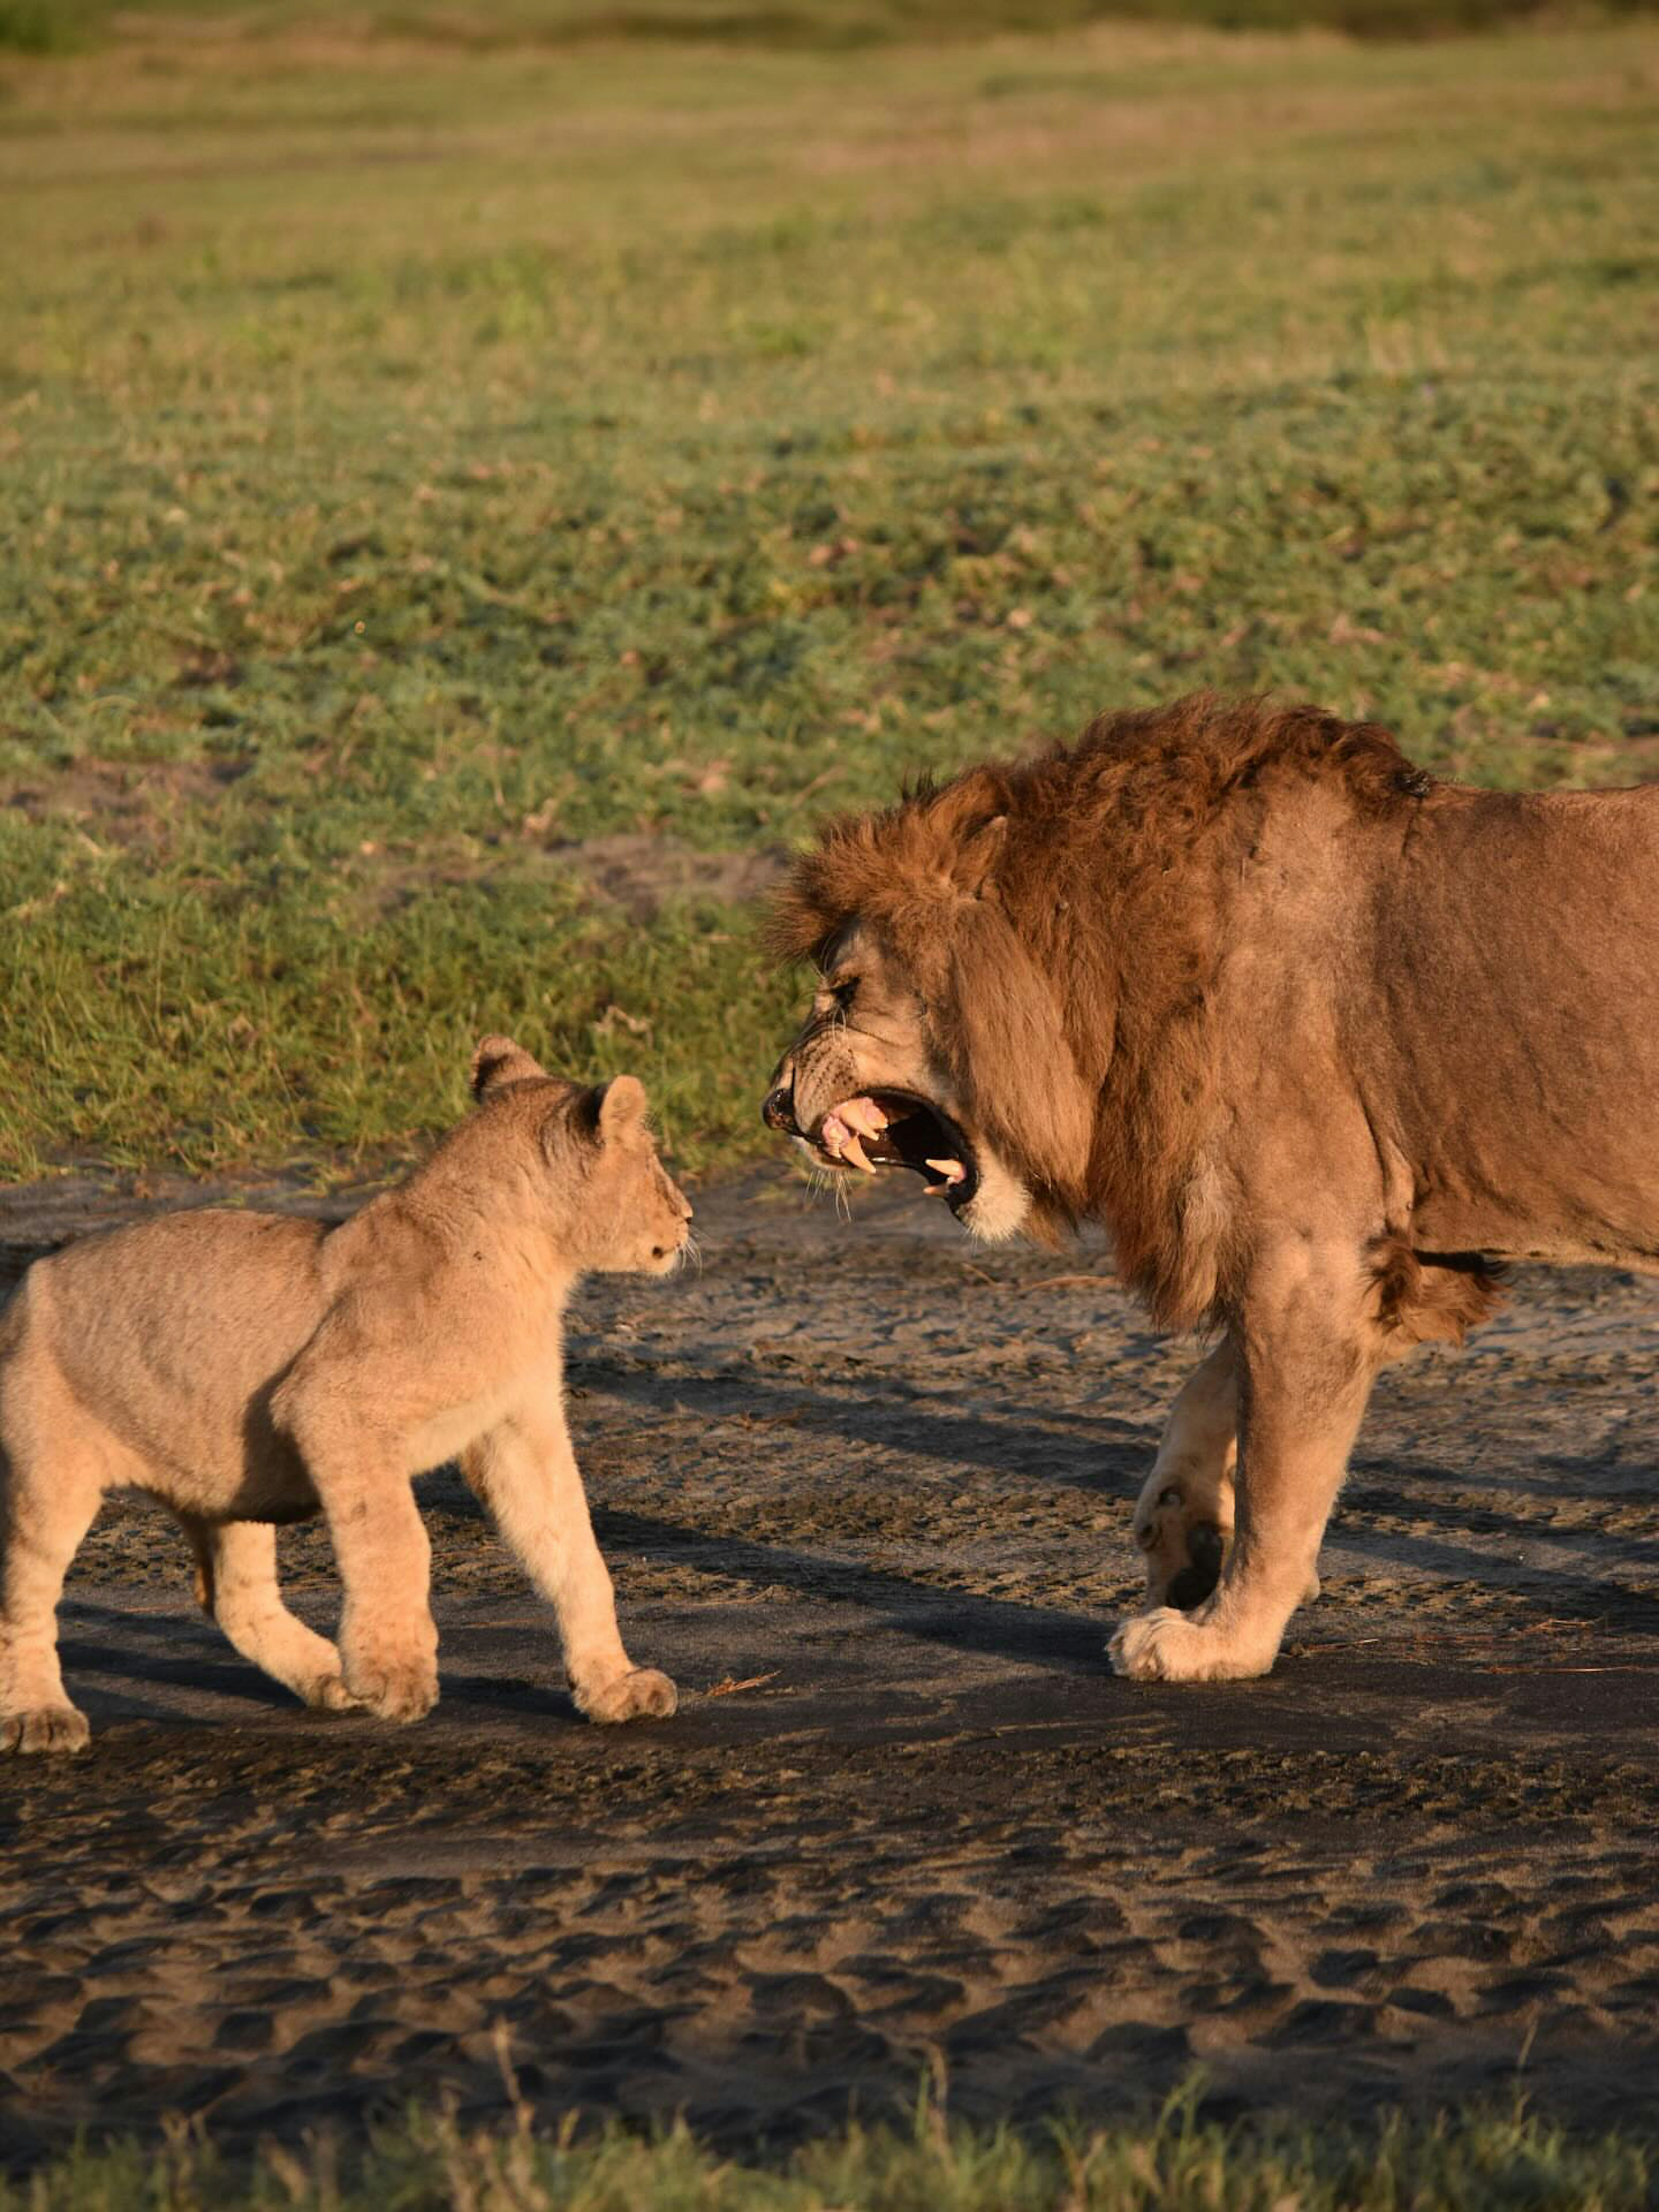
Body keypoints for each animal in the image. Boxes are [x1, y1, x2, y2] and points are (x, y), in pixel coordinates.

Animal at [0, 1038, 691, 1752]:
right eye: (652, 1161)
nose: (689, 1215)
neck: (533, 1267)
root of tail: (29, 1280)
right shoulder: (333, 1405)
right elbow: (398, 1539)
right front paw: (394, 1676)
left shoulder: (518, 1425)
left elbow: (576, 1553)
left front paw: (616, 1686)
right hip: (52, 1471)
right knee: (23, 1597)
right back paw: (38, 1716)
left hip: (227, 1478)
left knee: (233, 1596)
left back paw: (329, 1677)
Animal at [762, 692, 1659, 1682]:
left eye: (846, 992)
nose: (773, 1105)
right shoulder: (1358, 1257)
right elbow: (1212, 1390)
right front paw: (1185, 1538)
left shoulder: (1307, 1256)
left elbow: (1280, 1479)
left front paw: (1223, 1640)